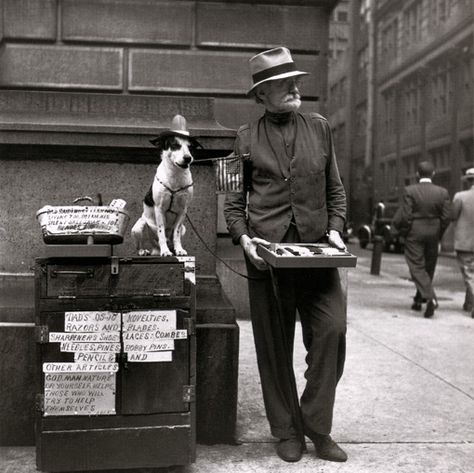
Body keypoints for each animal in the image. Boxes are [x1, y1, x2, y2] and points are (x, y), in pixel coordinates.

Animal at [131, 114, 201, 256]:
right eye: (175, 145)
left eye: (190, 147)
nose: (188, 158)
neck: (175, 176)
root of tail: (155, 249)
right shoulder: (159, 209)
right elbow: (161, 232)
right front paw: (165, 252)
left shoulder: (182, 211)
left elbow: (176, 233)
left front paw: (179, 249)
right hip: (138, 227)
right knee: (142, 243)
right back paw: (145, 251)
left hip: (184, 228)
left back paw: (172, 248)